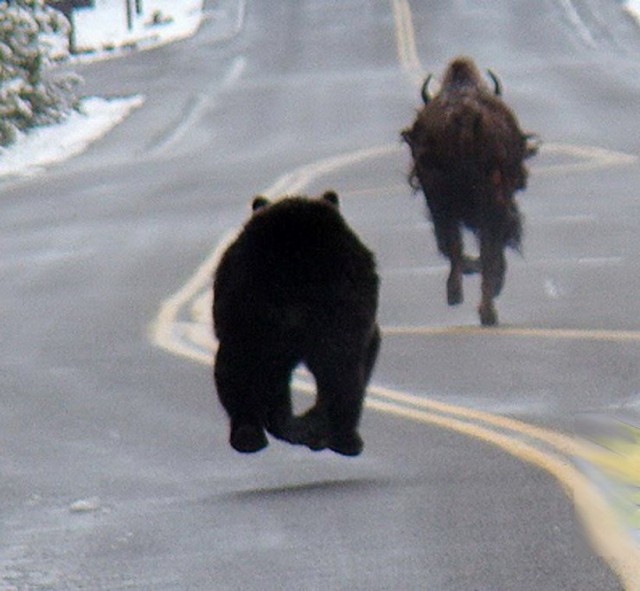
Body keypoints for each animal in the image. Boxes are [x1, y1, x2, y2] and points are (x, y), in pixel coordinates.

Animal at [402, 57, 536, 326]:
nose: (522, 179)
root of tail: (464, 117)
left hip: (444, 204)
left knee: (454, 244)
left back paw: (461, 295)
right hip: (487, 204)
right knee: (485, 246)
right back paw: (486, 307)